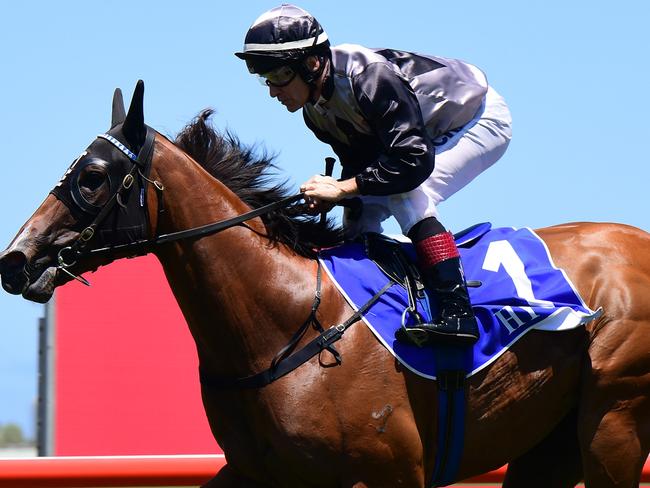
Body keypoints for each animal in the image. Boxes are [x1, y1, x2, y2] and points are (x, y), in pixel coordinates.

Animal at [1, 82, 648, 486]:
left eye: (92, 176)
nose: (15, 259)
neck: (282, 321)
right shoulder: (255, 471)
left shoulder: (391, 471)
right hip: (552, 442)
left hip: (614, 418)